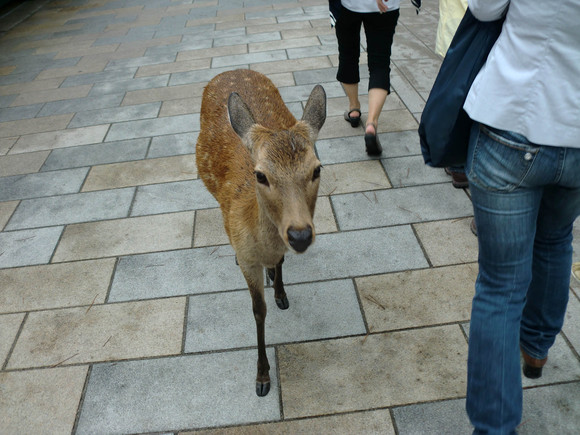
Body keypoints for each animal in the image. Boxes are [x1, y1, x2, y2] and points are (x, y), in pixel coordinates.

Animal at [196, 69, 326, 398]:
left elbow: (280, 264)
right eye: (260, 175)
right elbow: (258, 310)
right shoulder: (248, 258)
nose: (300, 235)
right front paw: (263, 377)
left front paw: (281, 292)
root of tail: (232, 70)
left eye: (317, 169)